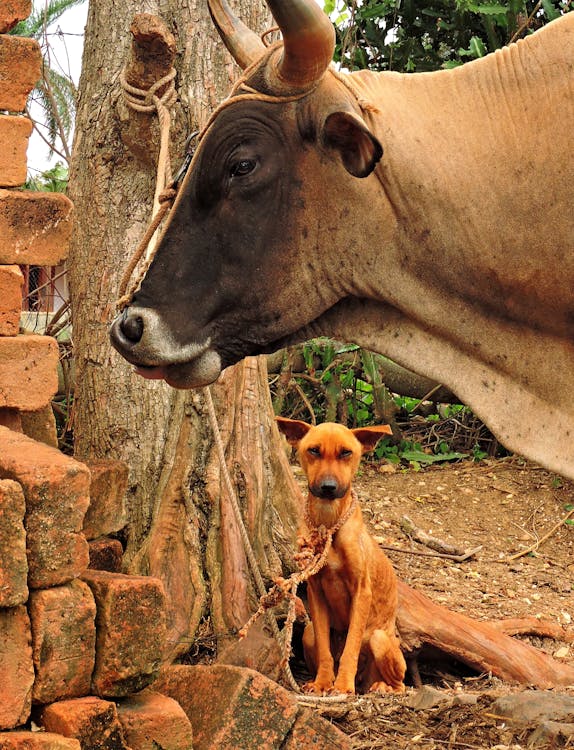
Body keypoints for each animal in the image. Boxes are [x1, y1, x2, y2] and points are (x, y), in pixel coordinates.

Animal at [278, 418, 404, 700]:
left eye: (346, 452)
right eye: (313, 450)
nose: (328, 487)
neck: (329, 523)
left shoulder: (361, 591)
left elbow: (351, 648)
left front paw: (343, 684)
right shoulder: (315, 591)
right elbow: (326, 650)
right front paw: (323, 682)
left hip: (380, 638)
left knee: (400, 684)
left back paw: (381, 687)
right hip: (308, 633)